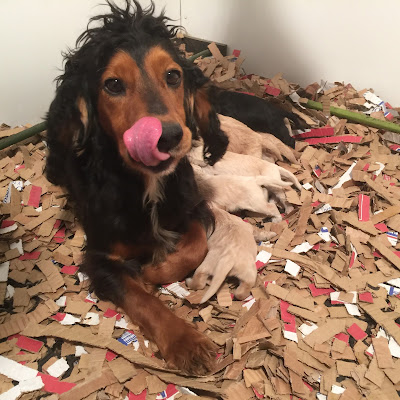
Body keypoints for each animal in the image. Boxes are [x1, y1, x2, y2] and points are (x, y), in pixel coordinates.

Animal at [45, 0, 232, 375]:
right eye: (113, 84)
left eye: (173, 76)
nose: (169, 137)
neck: (148, 184)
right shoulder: (100, 259)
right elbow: (142, 299)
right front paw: (186, 342)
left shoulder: (191, 207)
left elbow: (196, 246)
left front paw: (157, 268)